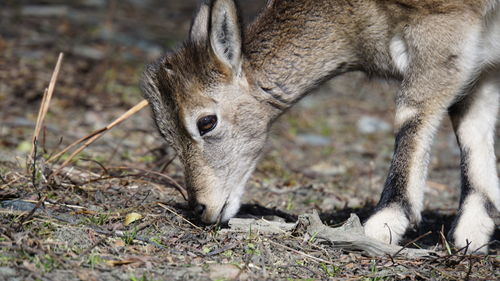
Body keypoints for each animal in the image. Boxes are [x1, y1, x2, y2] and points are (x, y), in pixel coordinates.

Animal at [142, 0, 500, 253]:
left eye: (206, 122)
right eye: (166, 134)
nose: (202, 208)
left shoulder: (442, 28)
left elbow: (413, 113)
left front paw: (381, 225)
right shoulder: (483, 55)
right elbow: (471, 125)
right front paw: (472, 234)